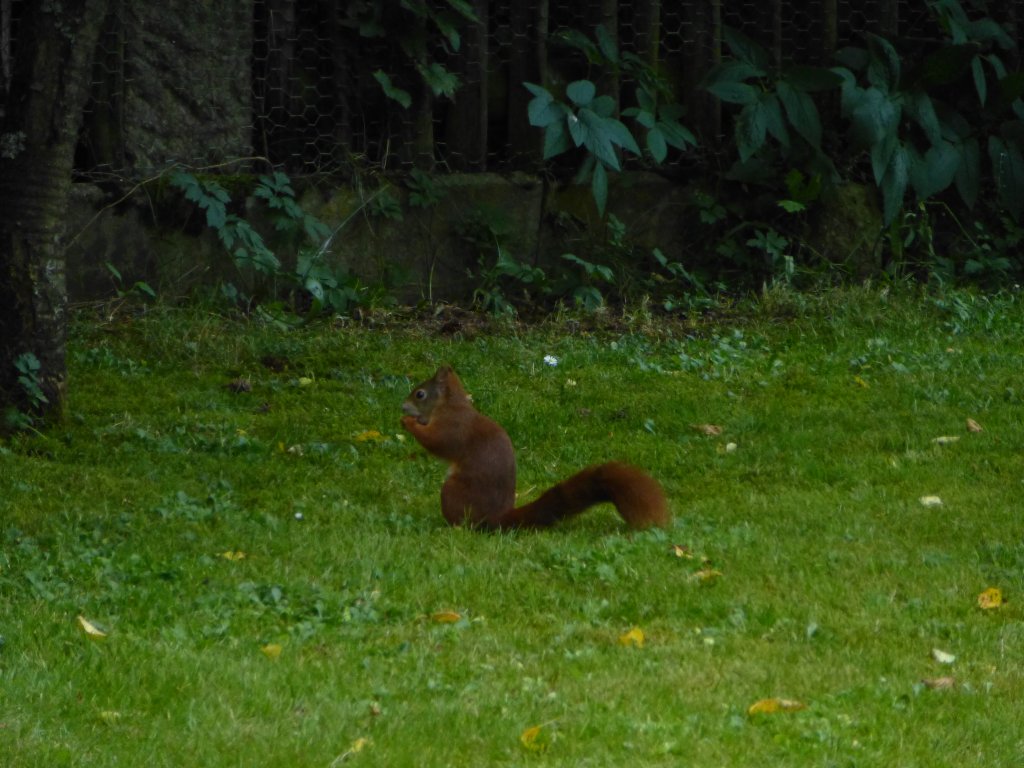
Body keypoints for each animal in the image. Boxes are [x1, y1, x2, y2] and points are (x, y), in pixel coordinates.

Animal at [395, 364, 667, 532]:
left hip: (453, 492)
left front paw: (408, 422)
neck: (451, 405)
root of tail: (496, 520)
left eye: (420, 394)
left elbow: (437, 442)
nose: (403, 406)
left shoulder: (453, 426)